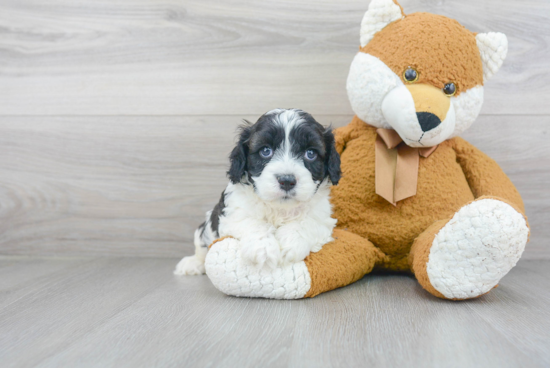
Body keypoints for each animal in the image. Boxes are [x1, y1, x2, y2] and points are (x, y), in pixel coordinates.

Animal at [176, 108, 340, 274]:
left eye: (310, 153)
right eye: (265, 151)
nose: (286, 180)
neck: (280, 209)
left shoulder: (322, 217)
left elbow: (308, 221)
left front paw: (290, 243)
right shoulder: (234, 210)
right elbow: (251, 221)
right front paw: (263, 249)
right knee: (201, 247)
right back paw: (192, 263)